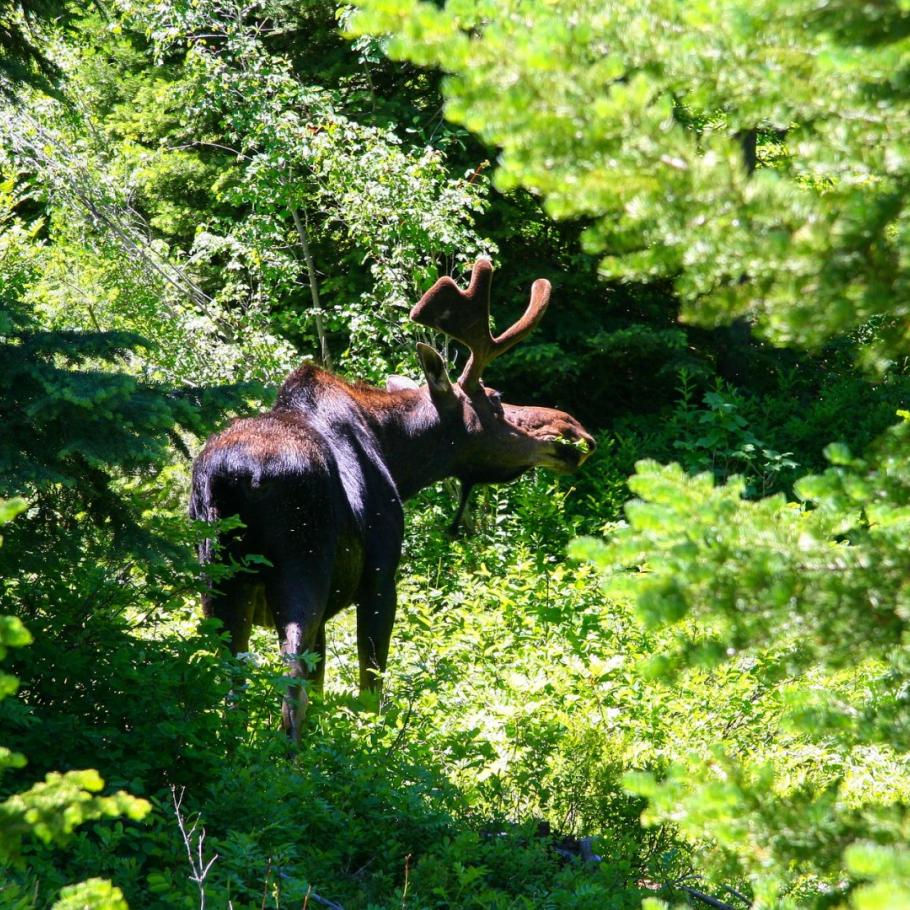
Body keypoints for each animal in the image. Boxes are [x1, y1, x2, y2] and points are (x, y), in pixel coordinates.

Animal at [189, 258, 596, 740]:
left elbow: (322, 686)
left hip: (218, 578)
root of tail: (238, 478)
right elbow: (370, 691)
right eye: (496, 401)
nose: (574, 430)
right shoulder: (380, 578)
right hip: (300, 571)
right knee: (290, 690)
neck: (397, 458)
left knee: (231, 689)